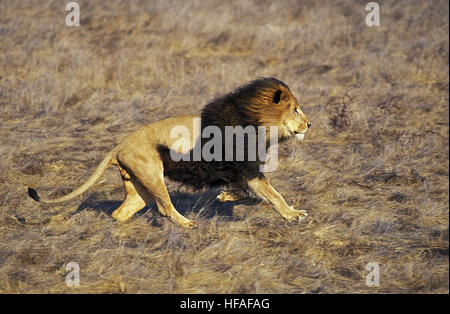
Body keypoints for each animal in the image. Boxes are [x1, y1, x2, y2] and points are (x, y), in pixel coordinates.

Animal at [27, 77, 310, 227]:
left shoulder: (242, 173)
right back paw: (187, 224)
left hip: (138, 186)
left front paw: (226, 197)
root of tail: (118, 145)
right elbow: (273, 195)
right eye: (295, 109)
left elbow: (253, 195)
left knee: (121, 212)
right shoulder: (248, 171)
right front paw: (293, 214)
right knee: (165, 208)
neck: (255, 121)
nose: (309, 124)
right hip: (153, 176)